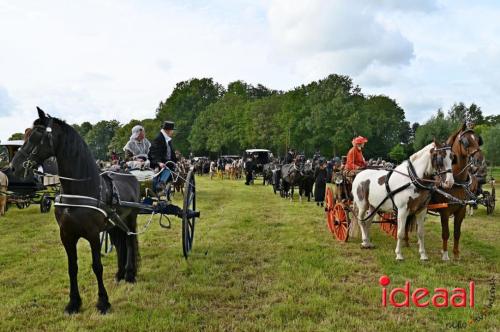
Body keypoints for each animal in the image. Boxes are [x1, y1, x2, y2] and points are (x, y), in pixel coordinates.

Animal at [11, 109, 141, 314]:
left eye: (37, 135)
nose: (13, 168)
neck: (80, 190)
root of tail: (130, 175)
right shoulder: (66, 235)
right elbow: (72, 267)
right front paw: (73, 303)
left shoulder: (93, 234)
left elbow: (97, 266)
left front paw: (103, 302)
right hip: (114, 223)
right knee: (120, 245)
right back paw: (120, 274)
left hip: (131, 218)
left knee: (129, 242)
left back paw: (129, 274)